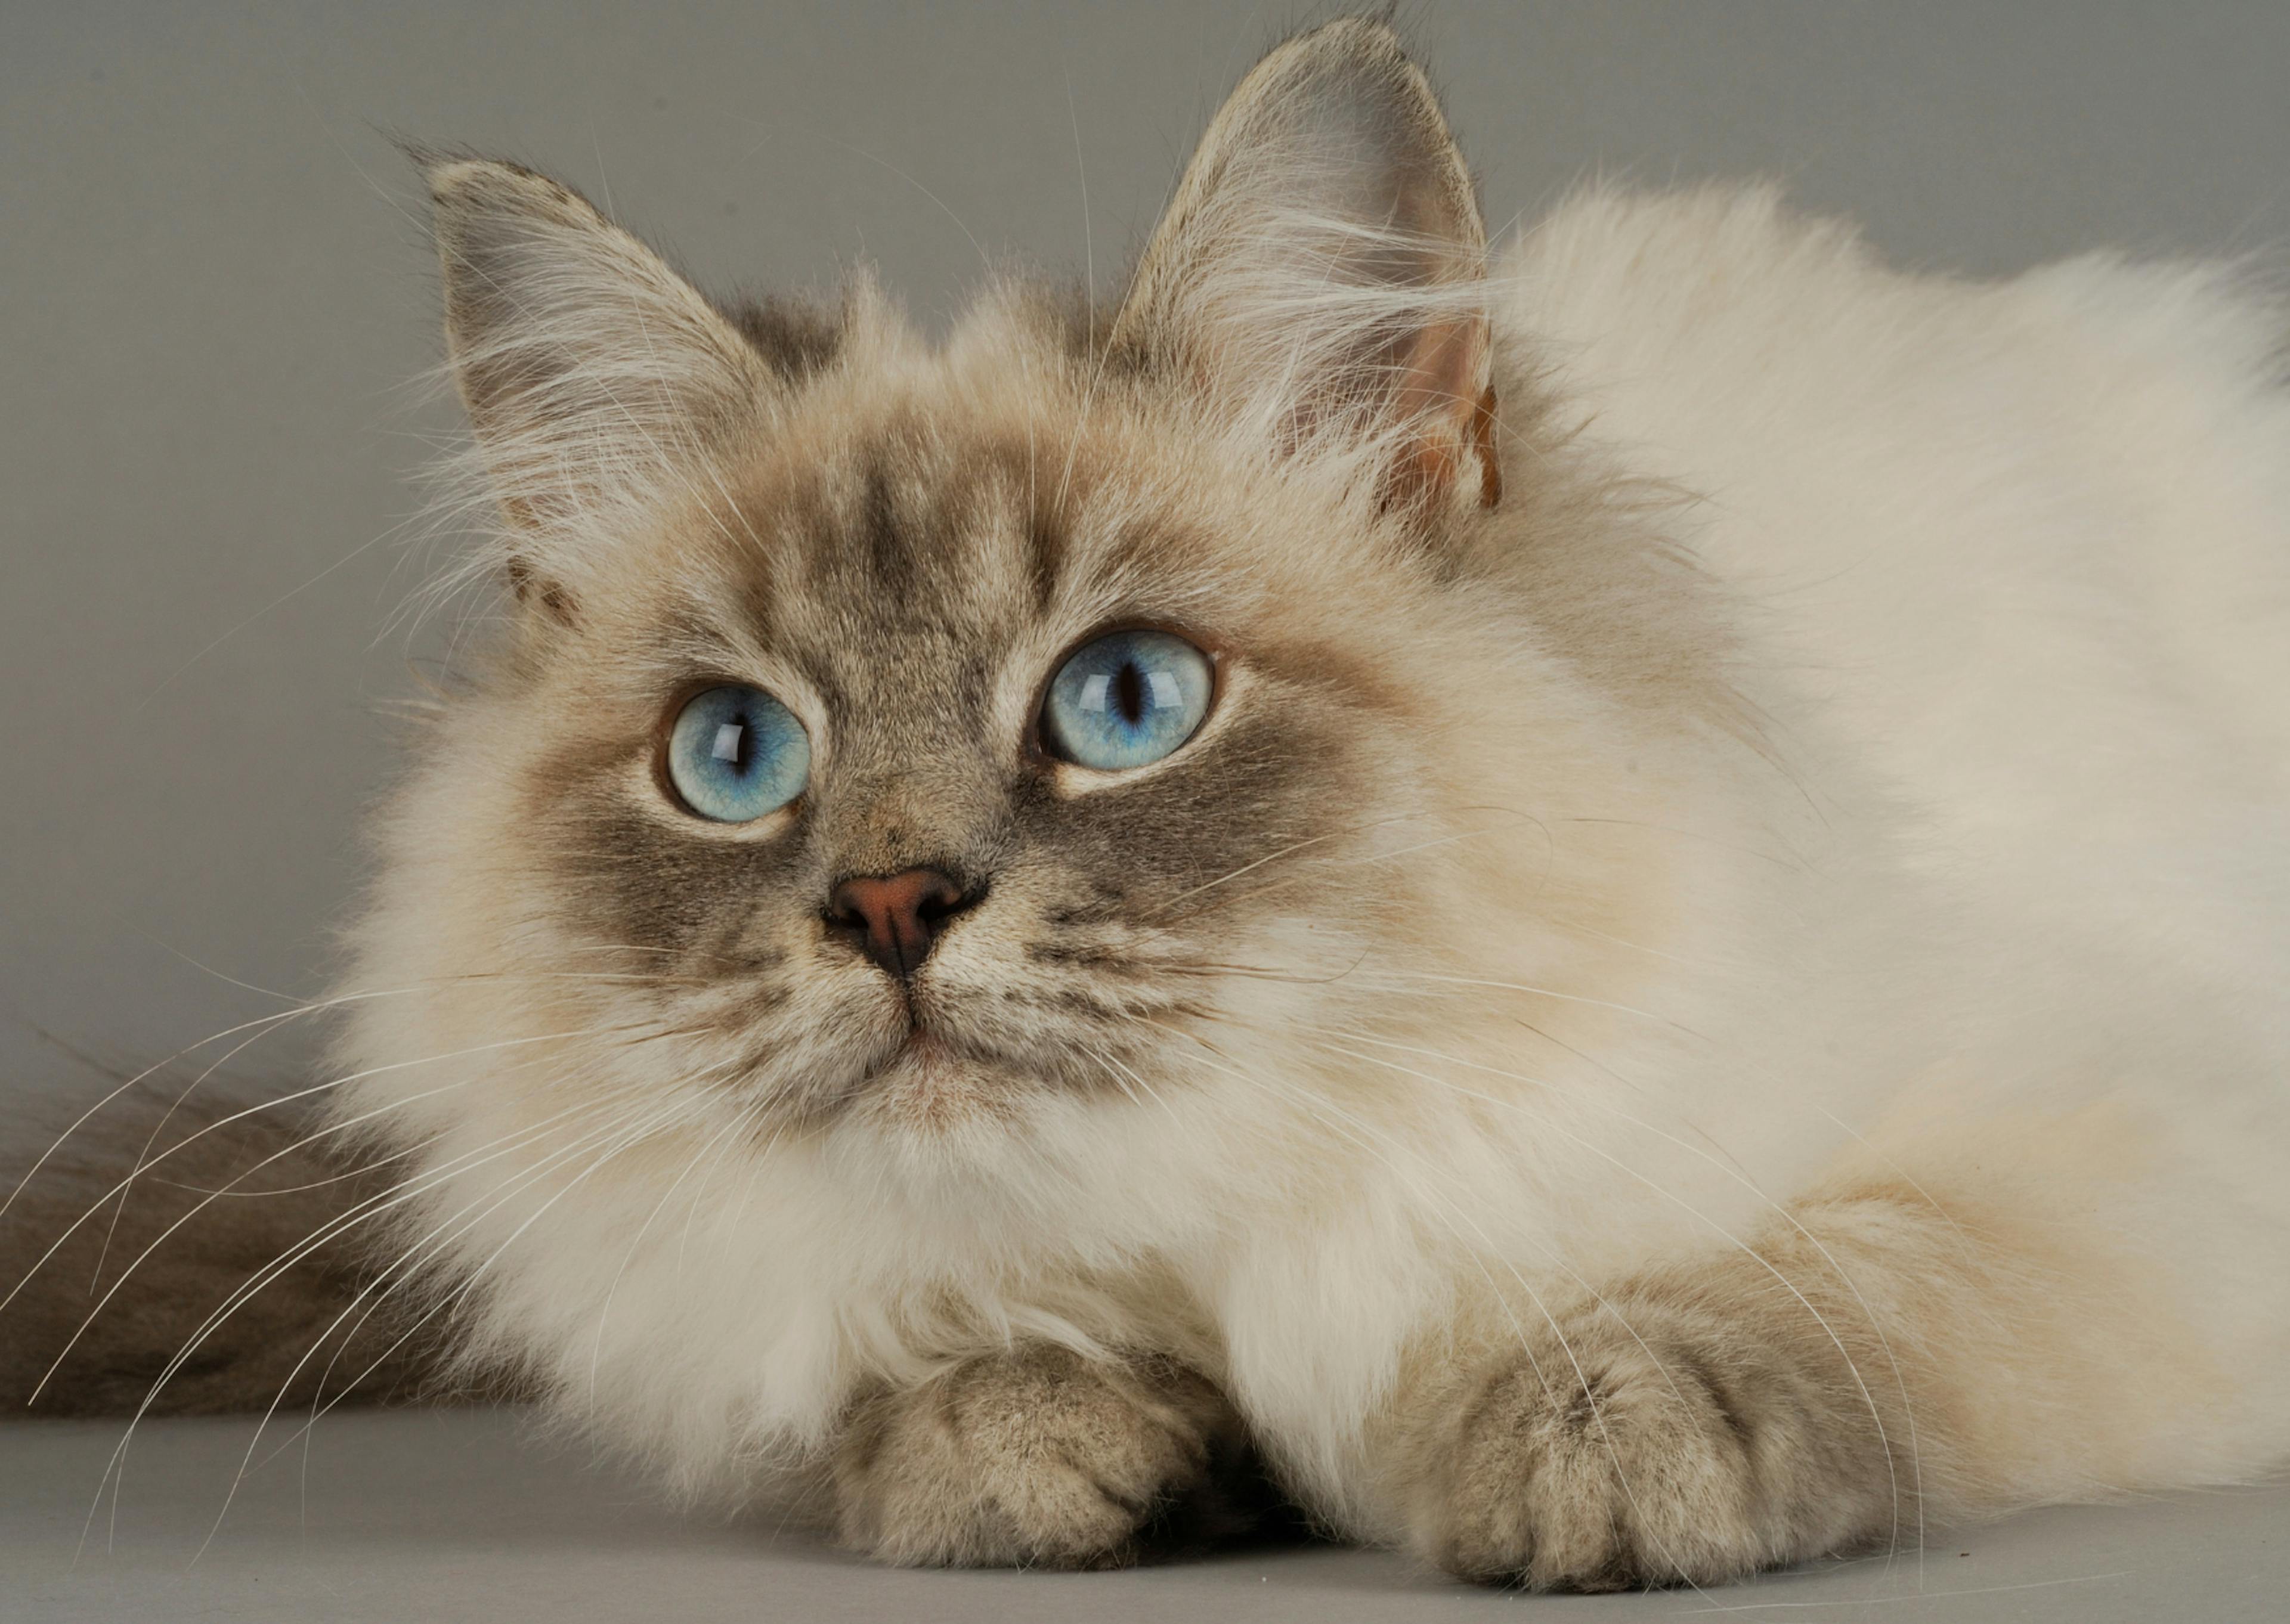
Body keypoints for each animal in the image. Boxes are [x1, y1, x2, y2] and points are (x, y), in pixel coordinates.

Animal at [4, 9, 2290, 1585]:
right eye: (736, 756)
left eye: (1121, 701)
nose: (892, 906)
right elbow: (930, 1374)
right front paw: (1038, 1443)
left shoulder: (2138, 1145)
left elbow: (1831, 1276)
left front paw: (1587, 1428)